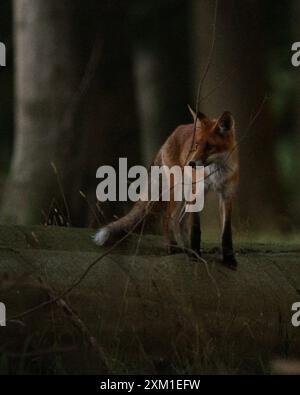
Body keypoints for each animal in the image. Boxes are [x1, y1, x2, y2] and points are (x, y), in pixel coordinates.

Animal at [94, 107, 239, 270]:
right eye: (195, 146)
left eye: (209, 146)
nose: (191, 163)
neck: (215, 173)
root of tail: (172, 134)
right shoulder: (197, 192)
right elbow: (195, 228)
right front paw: (195, 256)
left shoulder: (227, 195)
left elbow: (226, 232)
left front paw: (229, 259)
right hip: (177, 191)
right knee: (168, 217)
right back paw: (174, 248)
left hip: (185, 195)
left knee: (179, 220)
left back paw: (186, 248)